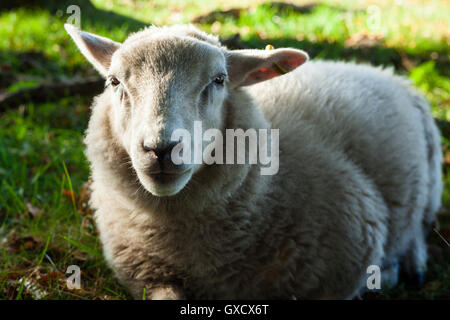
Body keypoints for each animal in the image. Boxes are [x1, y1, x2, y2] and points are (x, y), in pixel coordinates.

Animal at [65, 23, 442, 300]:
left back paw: (407, 266)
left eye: (219, 80)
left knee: (419, 227)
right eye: (115, 81)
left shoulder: (347, 261)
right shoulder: (148, 275)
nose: (161, 148)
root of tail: (381, 71)